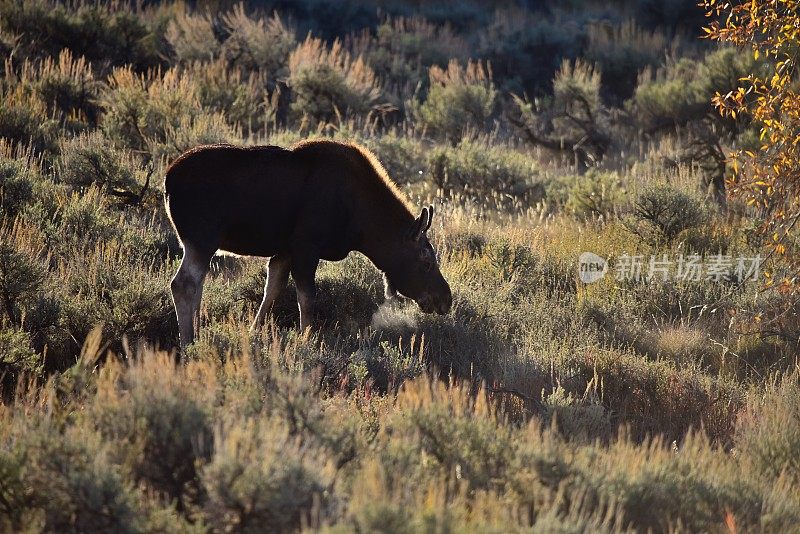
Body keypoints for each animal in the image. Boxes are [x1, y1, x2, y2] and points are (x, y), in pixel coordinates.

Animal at [164, 140, 450, 350]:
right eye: (426, 261)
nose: (445, 298)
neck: (361, 225)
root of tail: (167, 182)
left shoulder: (285, 250)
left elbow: (272, 289)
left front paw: (255, 331)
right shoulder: (307, 246)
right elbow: (307, 298)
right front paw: (307, 339)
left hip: (200, 243)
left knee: (197, 285)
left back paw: (197, 335)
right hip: (202, 238)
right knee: (183, 284)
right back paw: (187, 343)